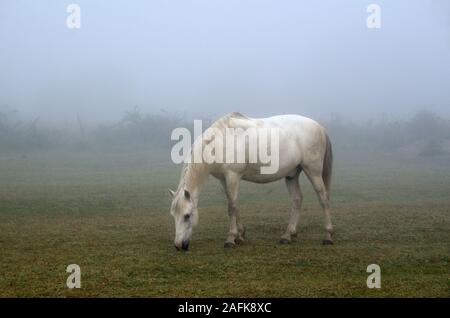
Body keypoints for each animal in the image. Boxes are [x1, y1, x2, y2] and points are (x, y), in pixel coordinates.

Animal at [170, 112, 334, 251]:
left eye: (187, 215)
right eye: (174, 215)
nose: (179, 245)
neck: (220, 143)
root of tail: (320, 127)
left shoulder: (232, 176)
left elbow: (231, 207)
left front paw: (230, 239)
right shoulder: (224, 179)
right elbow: (234, 204)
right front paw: (240, 235)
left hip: (313, 171)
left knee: (324, 199)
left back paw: (328, 236)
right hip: (292, 175)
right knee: (297, 200)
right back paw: (288, 235)